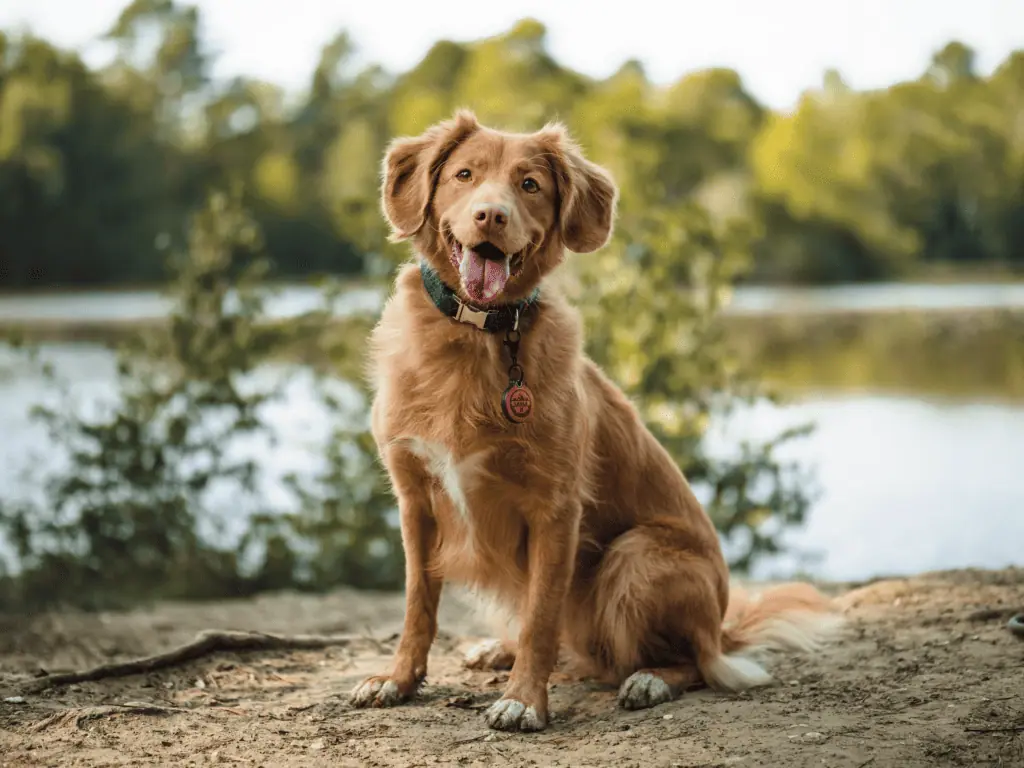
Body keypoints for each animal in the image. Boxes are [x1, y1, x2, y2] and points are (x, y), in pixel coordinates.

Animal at [352, 109, 839, 733]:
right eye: (464, 175)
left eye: (529, 184)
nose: (491, 215)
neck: (477, 336)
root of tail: (722, 625)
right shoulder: (415, 499)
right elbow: (418, 603)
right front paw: (398, 679)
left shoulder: (556, 508)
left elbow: (541, 616)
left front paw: (524, 700)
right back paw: (498, 649)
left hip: (635, 557)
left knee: (695, 662)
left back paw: (649, 680)